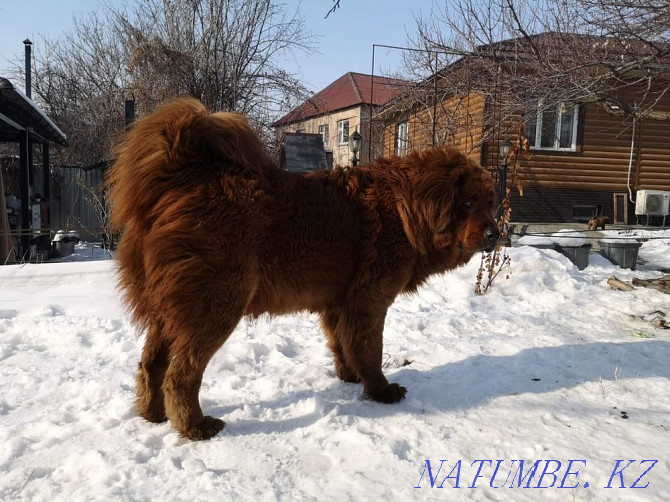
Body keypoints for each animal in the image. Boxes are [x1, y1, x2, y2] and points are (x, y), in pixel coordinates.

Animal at [107, 98, 502, 440]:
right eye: (468, 204)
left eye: (491, 203)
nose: (495, 234)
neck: (407, 208)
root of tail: (179, 176)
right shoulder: (369, 300)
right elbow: (370, 349)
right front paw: (380, 390)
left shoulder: (338, 302)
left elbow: (342, 344)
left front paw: (349, 378)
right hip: (217, 304)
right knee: (181, 374)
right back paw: (194, 426)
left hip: (168, 310)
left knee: (151, 364)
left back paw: (152, 414)